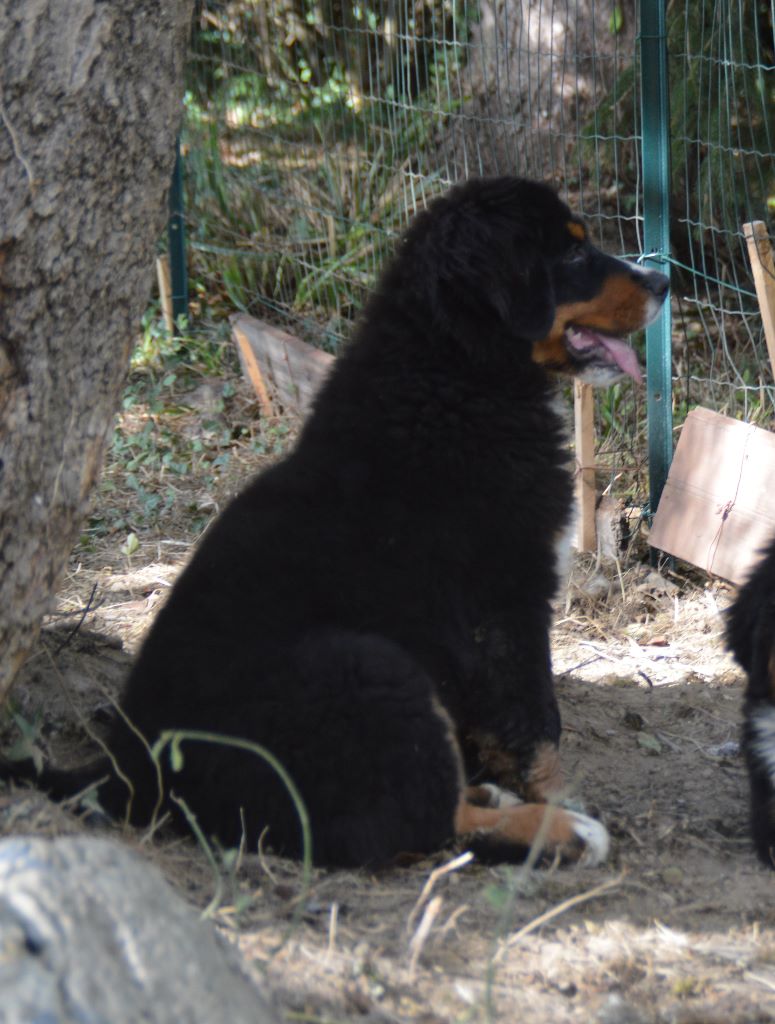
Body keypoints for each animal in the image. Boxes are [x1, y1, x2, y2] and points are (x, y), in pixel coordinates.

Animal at [3, 178, 667, 864]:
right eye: (572, 254)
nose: (665, 282)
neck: (454, 372)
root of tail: (127, 773)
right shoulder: (506, 602)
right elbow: (537, 724)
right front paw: (559, 799)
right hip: (369, 667)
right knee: (416, 825)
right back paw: (560, 832)